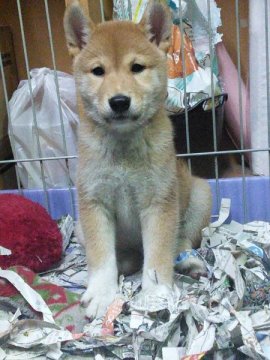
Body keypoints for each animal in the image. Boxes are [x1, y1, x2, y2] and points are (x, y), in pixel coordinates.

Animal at [64, 1, 212, 320]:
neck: (123, 150)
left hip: (200, 195)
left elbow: (158, 256)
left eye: (137, 68)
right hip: (80, 227)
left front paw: (155, 293)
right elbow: (101, 256)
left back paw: (189, 262)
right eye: (98, 71)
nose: (119, 101)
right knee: (125, 257)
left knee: (180, 241)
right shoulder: (94, 203)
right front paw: (102, 293)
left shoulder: (159, 203)